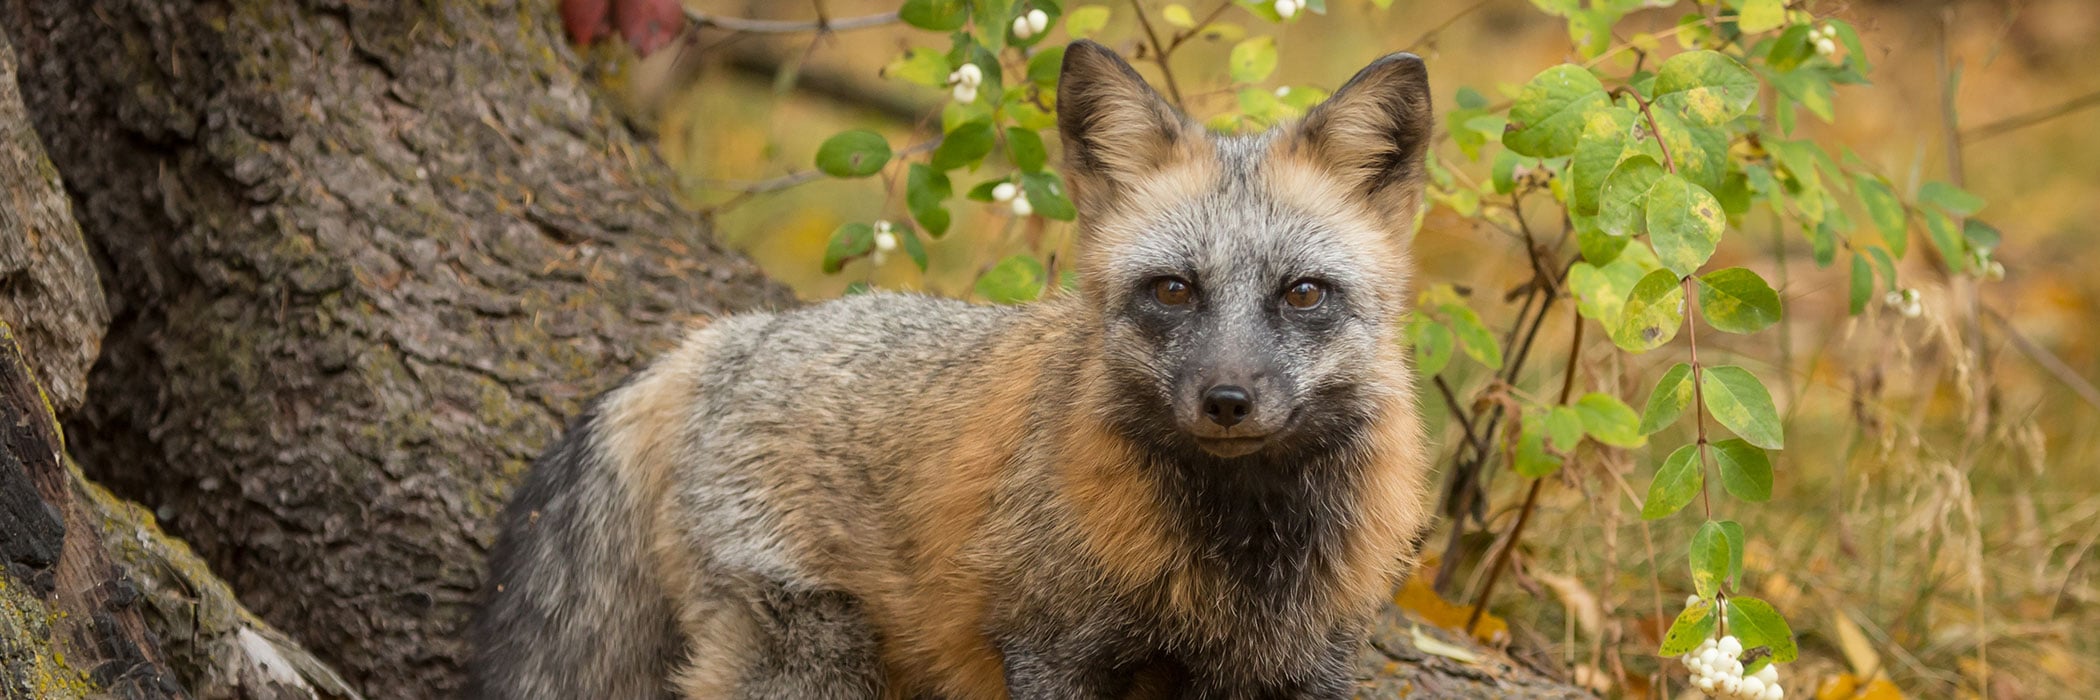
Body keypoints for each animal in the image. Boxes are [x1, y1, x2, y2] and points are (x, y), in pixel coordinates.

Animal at [466, 39, 1437, 699]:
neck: (1237, 568)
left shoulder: (1311, 669)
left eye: (1303, 295)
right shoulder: (1049, 650)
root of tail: (732, 337)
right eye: (1173, 289)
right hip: (815, 666)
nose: (1227, 400)